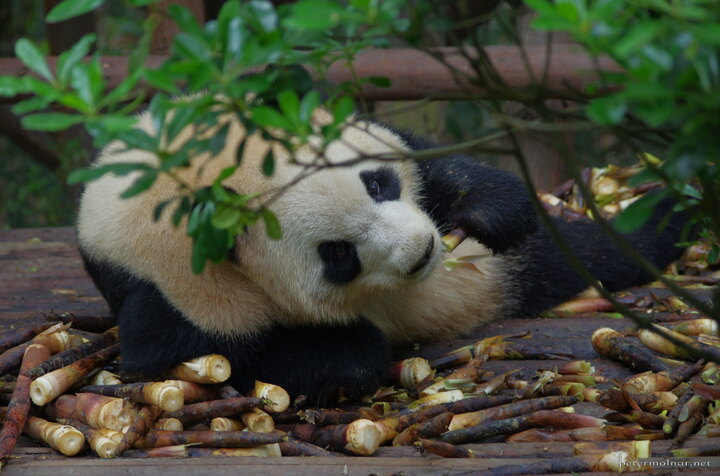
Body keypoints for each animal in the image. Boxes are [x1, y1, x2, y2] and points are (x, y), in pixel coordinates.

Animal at [77, 101, 689, 401]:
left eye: (376, 184)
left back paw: (668, 216)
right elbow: (207, 354)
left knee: (577, 250)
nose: (423, 251)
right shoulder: (174, 289)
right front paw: (346, 353)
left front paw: (491, 210)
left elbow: (429, 159)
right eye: (337, 255)